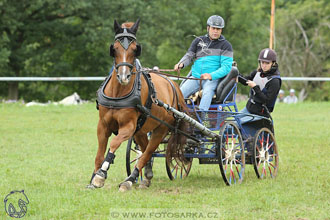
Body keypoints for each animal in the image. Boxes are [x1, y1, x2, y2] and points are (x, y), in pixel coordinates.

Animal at [88, 18, 188, 191]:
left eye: (135, 49)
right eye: (114, 48)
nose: (123, 77)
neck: (118, 94)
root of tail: (173, 85)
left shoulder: (128, 127)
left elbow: (114, 143)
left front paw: (101, 175)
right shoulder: (103, 125)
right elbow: (100, 153)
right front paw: (94, 177)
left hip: (160, 129)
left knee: (148, 152)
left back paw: (130, 179)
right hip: (141, 130)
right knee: (145, 149)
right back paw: (146, 176)